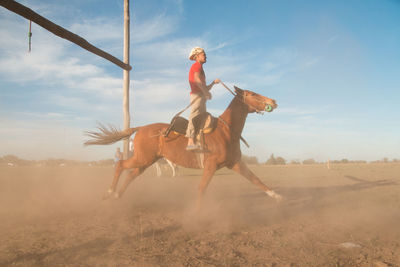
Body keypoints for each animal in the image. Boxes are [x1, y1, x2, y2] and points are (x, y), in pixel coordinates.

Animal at [85, 86, 282, 211]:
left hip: (146, 161)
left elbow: (256, 179)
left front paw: (277, 196)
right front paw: (197, 213)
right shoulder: (211, 166)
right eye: (253, 94)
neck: (226, 131)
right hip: (142, 159)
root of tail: (140, 128)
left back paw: (117, 196)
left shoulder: (235, 163)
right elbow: (202, 188)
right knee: (120, 166)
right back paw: (109, 193)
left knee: (131, 174)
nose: (273, 101)